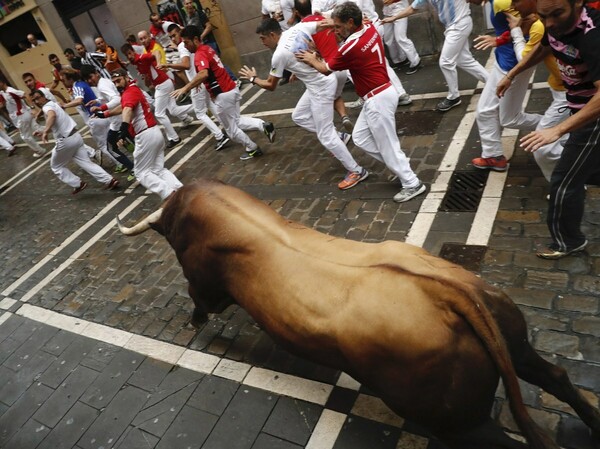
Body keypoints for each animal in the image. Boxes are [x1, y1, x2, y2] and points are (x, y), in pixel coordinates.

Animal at [118, 178, 600, 448]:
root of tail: (450, 292)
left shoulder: (201, 281)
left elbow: (200, 301)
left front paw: (194, 322)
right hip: (515, 344)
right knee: (556, 376)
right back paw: (591, 419)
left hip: (458, 420)